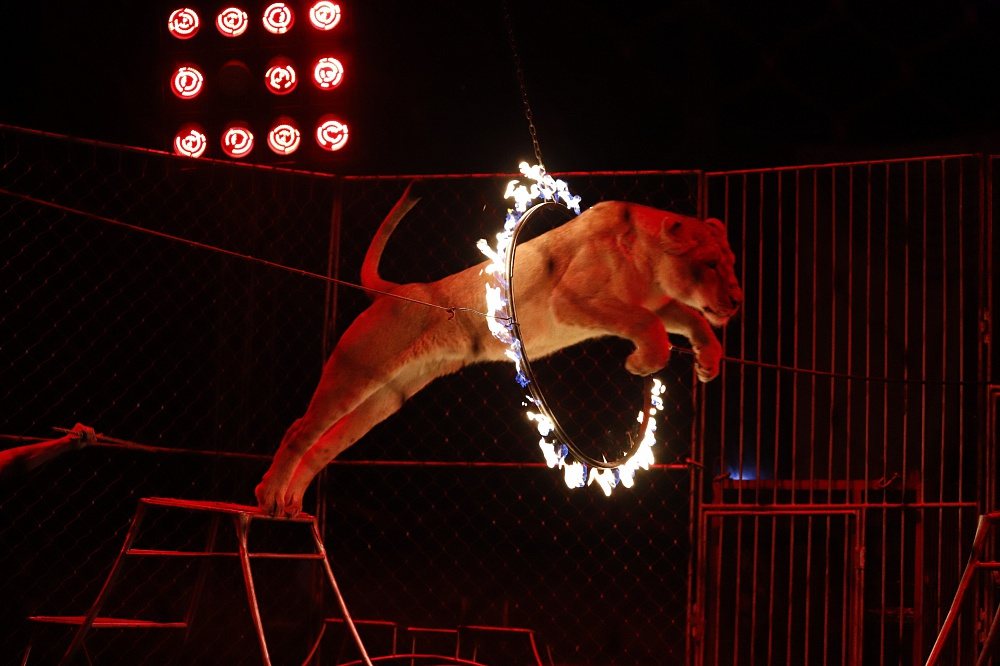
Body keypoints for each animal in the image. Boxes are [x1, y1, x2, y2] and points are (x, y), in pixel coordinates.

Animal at [255, 184, 743, 516]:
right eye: (710, 264)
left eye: (732, 263)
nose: (738, 301)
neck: (649, 267)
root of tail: (402, 291)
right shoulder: (571, 299)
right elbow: (650, 326)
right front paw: (642, 362)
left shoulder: (658, 301)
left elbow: (691, 319)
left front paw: (708, 361)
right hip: (357, 372)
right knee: (300, 430)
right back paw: (270, 494)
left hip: (387, 397)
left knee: (324, 445)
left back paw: (290, 501)